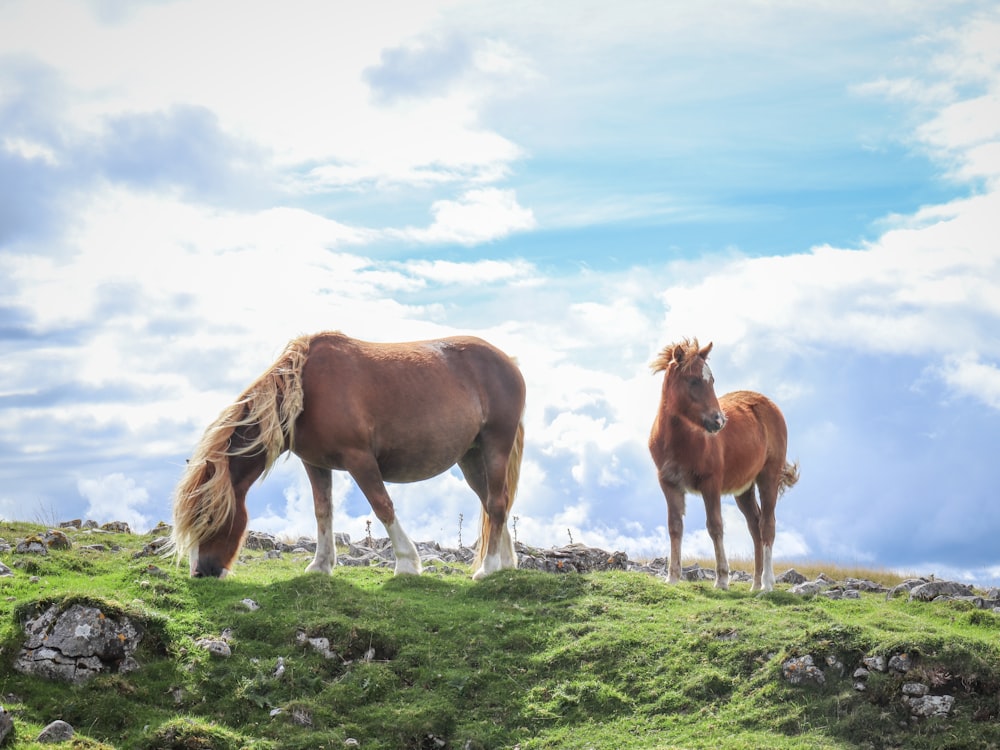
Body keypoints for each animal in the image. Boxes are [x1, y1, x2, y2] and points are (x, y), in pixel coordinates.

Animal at [173, 332, 528, 584]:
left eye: (208, 518)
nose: (201, 573)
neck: (306, 391)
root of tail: (508, 362)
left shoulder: (360, 460)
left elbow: (383, 506)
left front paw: (406, 564)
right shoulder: (315, 464)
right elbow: (323, 512)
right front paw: (320, 565)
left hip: (495, 445)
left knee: (497, 503)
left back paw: (487, 568)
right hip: (471, 458)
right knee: (492, 503)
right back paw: (504, 565)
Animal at [648, 340, 796, 592]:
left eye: (712, 380)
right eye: (693, 380)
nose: (718, 421)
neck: (680, 440)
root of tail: (771, 406)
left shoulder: (711, 483)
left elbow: (715, 526)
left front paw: (722, 579)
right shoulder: (668, 483)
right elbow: (675, 526)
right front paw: (673, 577)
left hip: (768, 477)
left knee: (767, 524)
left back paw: (767, 584)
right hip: (744, 489)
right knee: (755, 526)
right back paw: (755, 583)